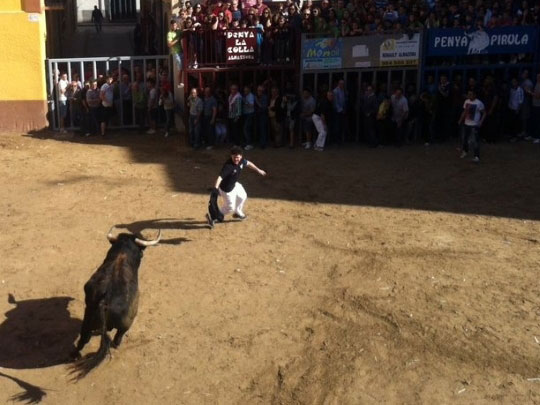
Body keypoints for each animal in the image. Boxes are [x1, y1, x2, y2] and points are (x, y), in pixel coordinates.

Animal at [69, 227, 160, 378]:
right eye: (141, 253)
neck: (121, 254)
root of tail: (105, 300)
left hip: (87, 318)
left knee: (84, 338)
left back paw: (74, 355)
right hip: (126, 323)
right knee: (117, 338)